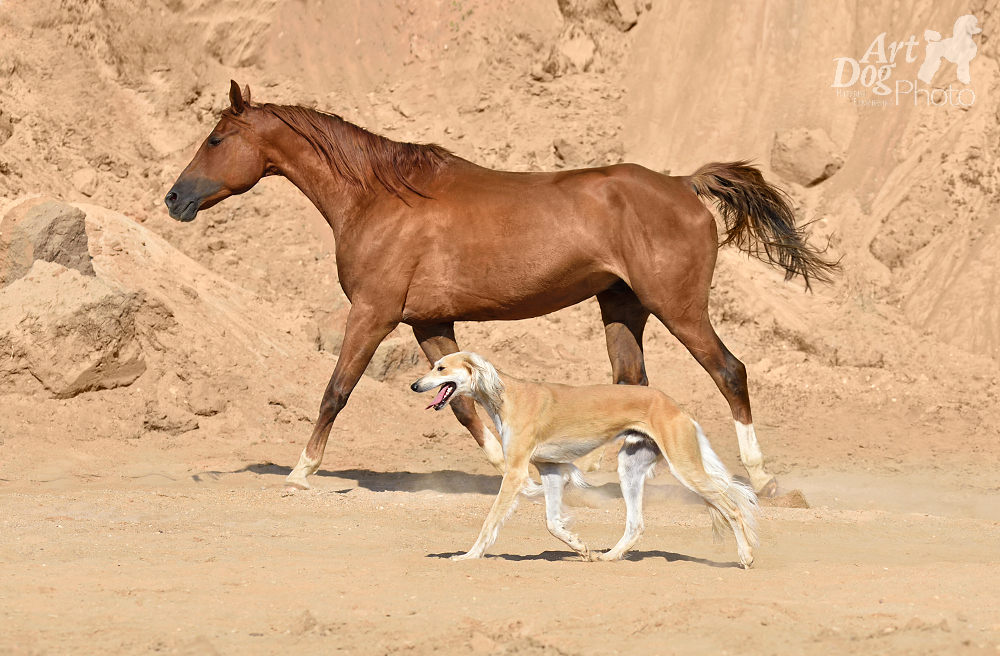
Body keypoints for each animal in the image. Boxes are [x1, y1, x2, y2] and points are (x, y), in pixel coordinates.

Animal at [166, 80, 836, 492]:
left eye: (216, 139)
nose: (174, 199)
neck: (379, 199)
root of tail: (683, 184)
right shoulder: (429, 322)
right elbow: (463, 406)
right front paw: (520, 471)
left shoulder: (373, 313)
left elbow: (337, 390)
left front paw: (300, 473)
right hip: (622, 307)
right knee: (631, 383)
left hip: (677, 306)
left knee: (730, 372)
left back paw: (763, 479)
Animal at [410, 348, 760, 568]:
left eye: (440, 367)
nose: (414, 385)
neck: (505, 396)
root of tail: (676, 407)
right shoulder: (551, 470)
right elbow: (552, 523)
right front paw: (579, 546)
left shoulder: (516, 471)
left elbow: (491, 519)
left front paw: (469, 556)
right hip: (630, 467)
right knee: (636, 524)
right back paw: (608, 557)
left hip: (684, 467)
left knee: (731, 507)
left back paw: (746, 557)